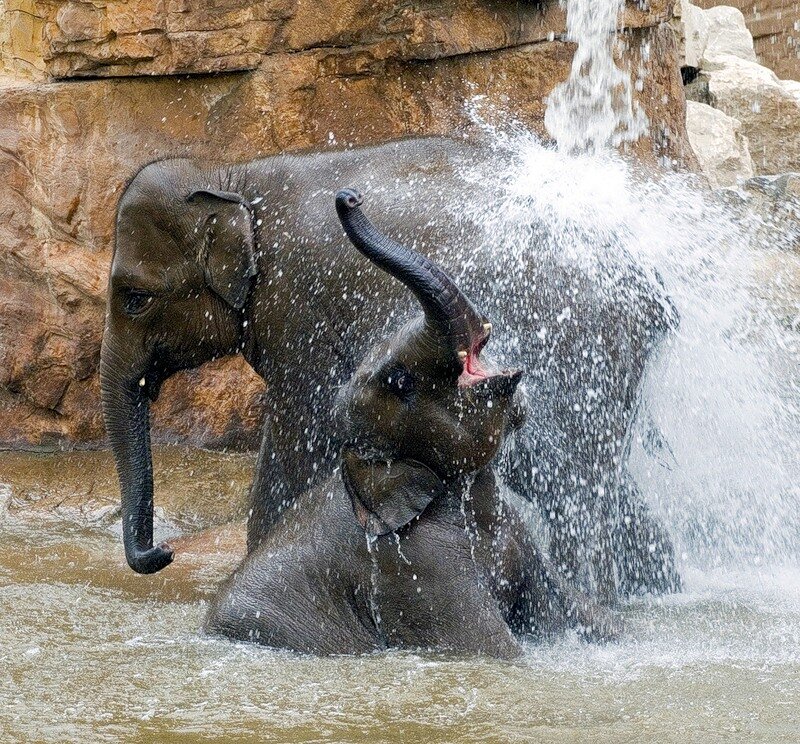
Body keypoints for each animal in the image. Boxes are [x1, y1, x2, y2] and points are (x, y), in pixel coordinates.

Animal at [99, 135, 680, 599]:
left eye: (134, 299)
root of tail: (649, 287)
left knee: (574, 487)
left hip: (585, 350)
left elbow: (297, 443)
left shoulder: (298, 311)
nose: (163, 553)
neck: (234, 174)